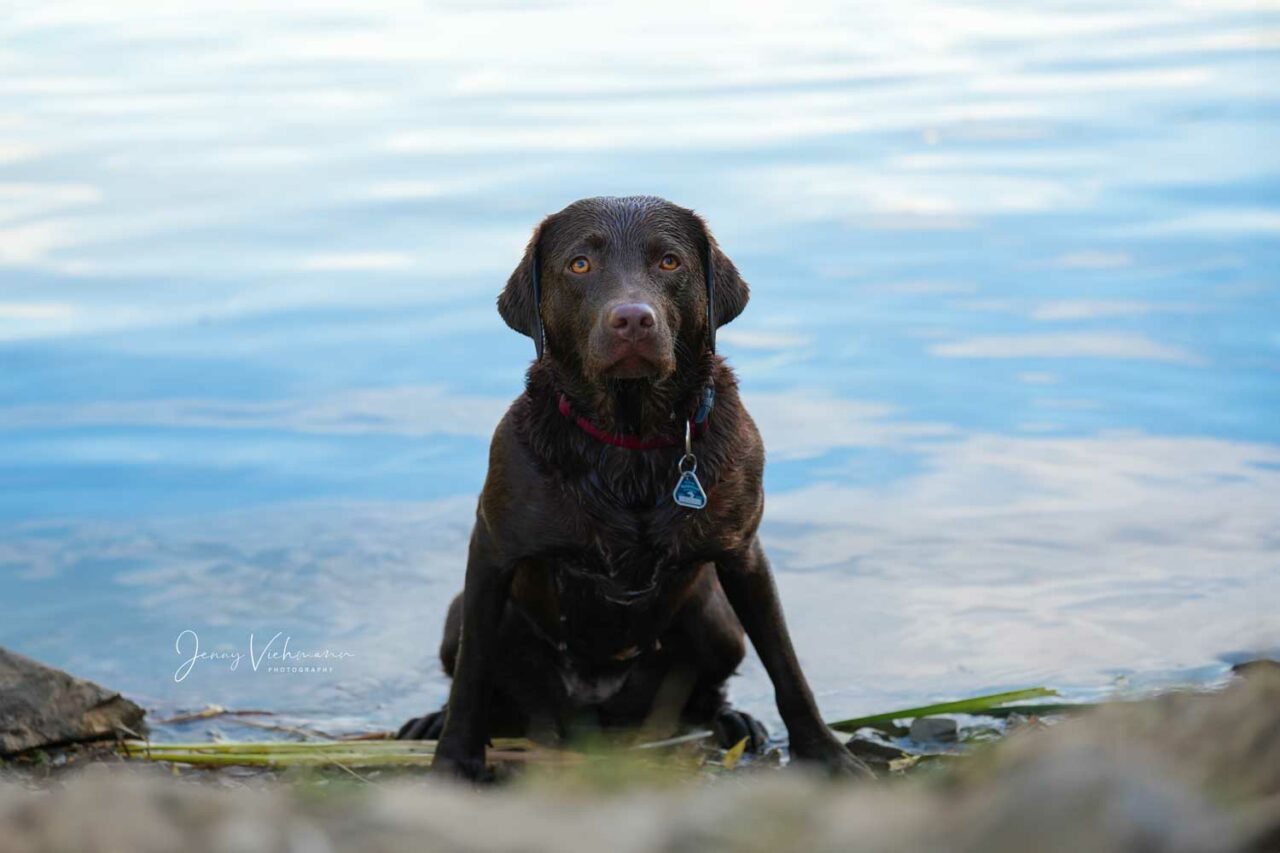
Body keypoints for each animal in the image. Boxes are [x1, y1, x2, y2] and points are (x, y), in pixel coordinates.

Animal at [399, 194, 875, 778]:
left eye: (669, 261)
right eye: (579, 264)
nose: (632, 319)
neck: (629, 442)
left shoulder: (743, 554)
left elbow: (786, 665)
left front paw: (827, 755)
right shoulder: (492, 551)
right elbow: (471, 673)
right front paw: (453, 762)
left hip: (718, 620)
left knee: (709, 687)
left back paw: (733, 720)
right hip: (457, 613)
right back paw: (430, 721)